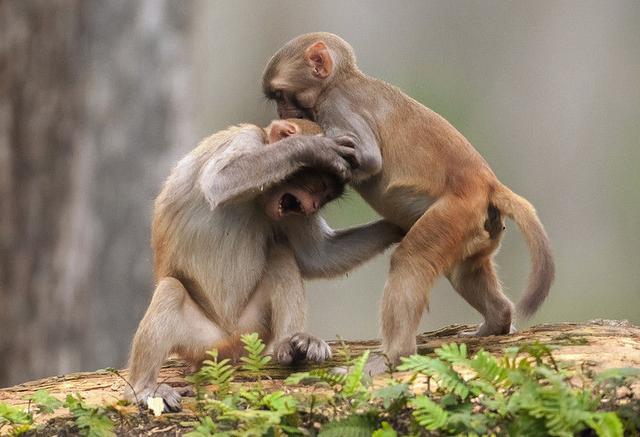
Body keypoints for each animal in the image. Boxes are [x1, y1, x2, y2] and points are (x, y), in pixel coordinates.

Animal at [125, 116, 404, 408]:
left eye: (325, 197)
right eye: (317, 186)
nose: (313, 207)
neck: (259, 195)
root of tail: (229, 340)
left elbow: (318, 257)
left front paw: (397, 227)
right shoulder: (246, 139)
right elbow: (218, 183)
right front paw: (311, 148)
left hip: (253, 328)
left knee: (281, 255)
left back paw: (290, 343)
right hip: (201, 341)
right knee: (171, 289)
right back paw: (144, 388)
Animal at [262, 33, 552, 374]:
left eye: (281, 95)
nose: (281, 113)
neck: (343, 81)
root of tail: (487, 183)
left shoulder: (338, 107)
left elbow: (370, 160)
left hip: (452, 214)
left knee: (410, 261)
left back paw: (392, 356)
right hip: (477, 227)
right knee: (464, 271)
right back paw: (496, 320)